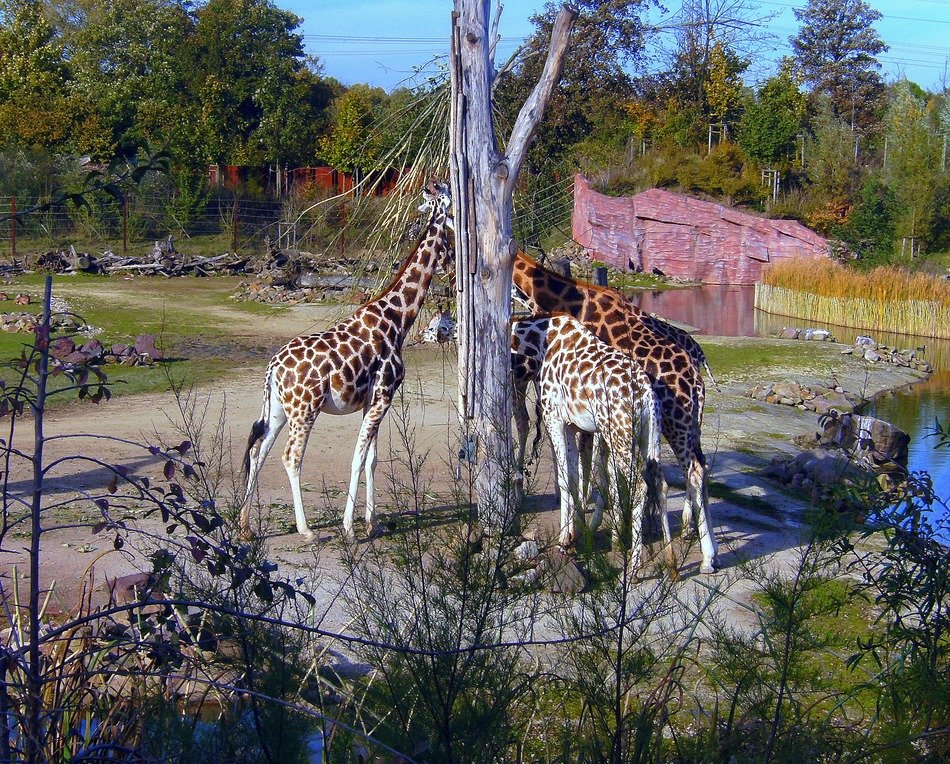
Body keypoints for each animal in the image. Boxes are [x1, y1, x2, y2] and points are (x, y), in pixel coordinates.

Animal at [240, 182, 453, 540]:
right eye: (449, 232)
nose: (452, 260)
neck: (398, 319)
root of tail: (273, 368)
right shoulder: (383, 396)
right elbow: (357, 458)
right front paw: (350, 527)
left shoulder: (374, 400)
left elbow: (372, 459)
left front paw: (373, 523)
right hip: (305, 409)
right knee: (291, 457)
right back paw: (306, 530)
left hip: (279, 409)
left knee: (258, 451)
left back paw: (244, 527)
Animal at [511, 314, 674, 574]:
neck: (540, 344)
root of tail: (647, 395)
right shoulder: (570, 425)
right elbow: (574, 478)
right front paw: (573, 536)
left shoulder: (554, 419)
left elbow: (565, 478)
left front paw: (563, 540)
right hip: (650, 436)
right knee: (660, 483)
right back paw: (671, 561)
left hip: (620, 435)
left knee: (639, 485)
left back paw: (634, 567)